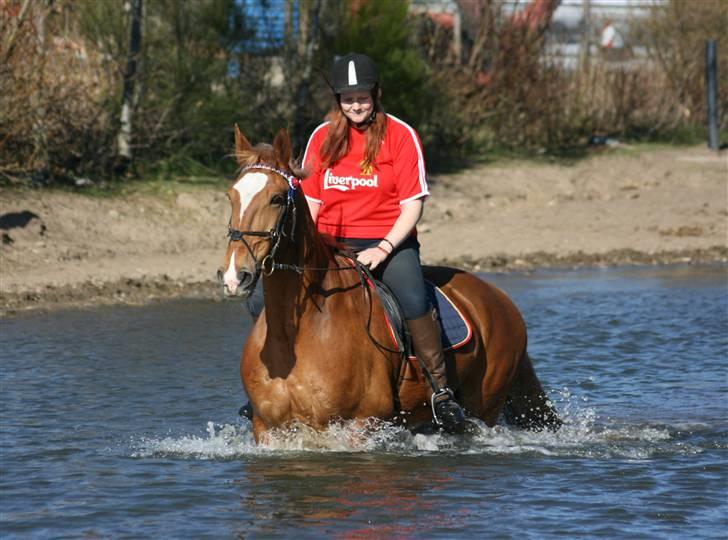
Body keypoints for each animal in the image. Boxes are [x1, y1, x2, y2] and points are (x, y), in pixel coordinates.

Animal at [219, 127, 560, 442]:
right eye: (231, 196)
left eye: (277, 199)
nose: (235, 275)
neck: (298, 333)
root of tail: (500, 299)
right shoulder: (266, 427)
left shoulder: (360, 424)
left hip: (485, 406)